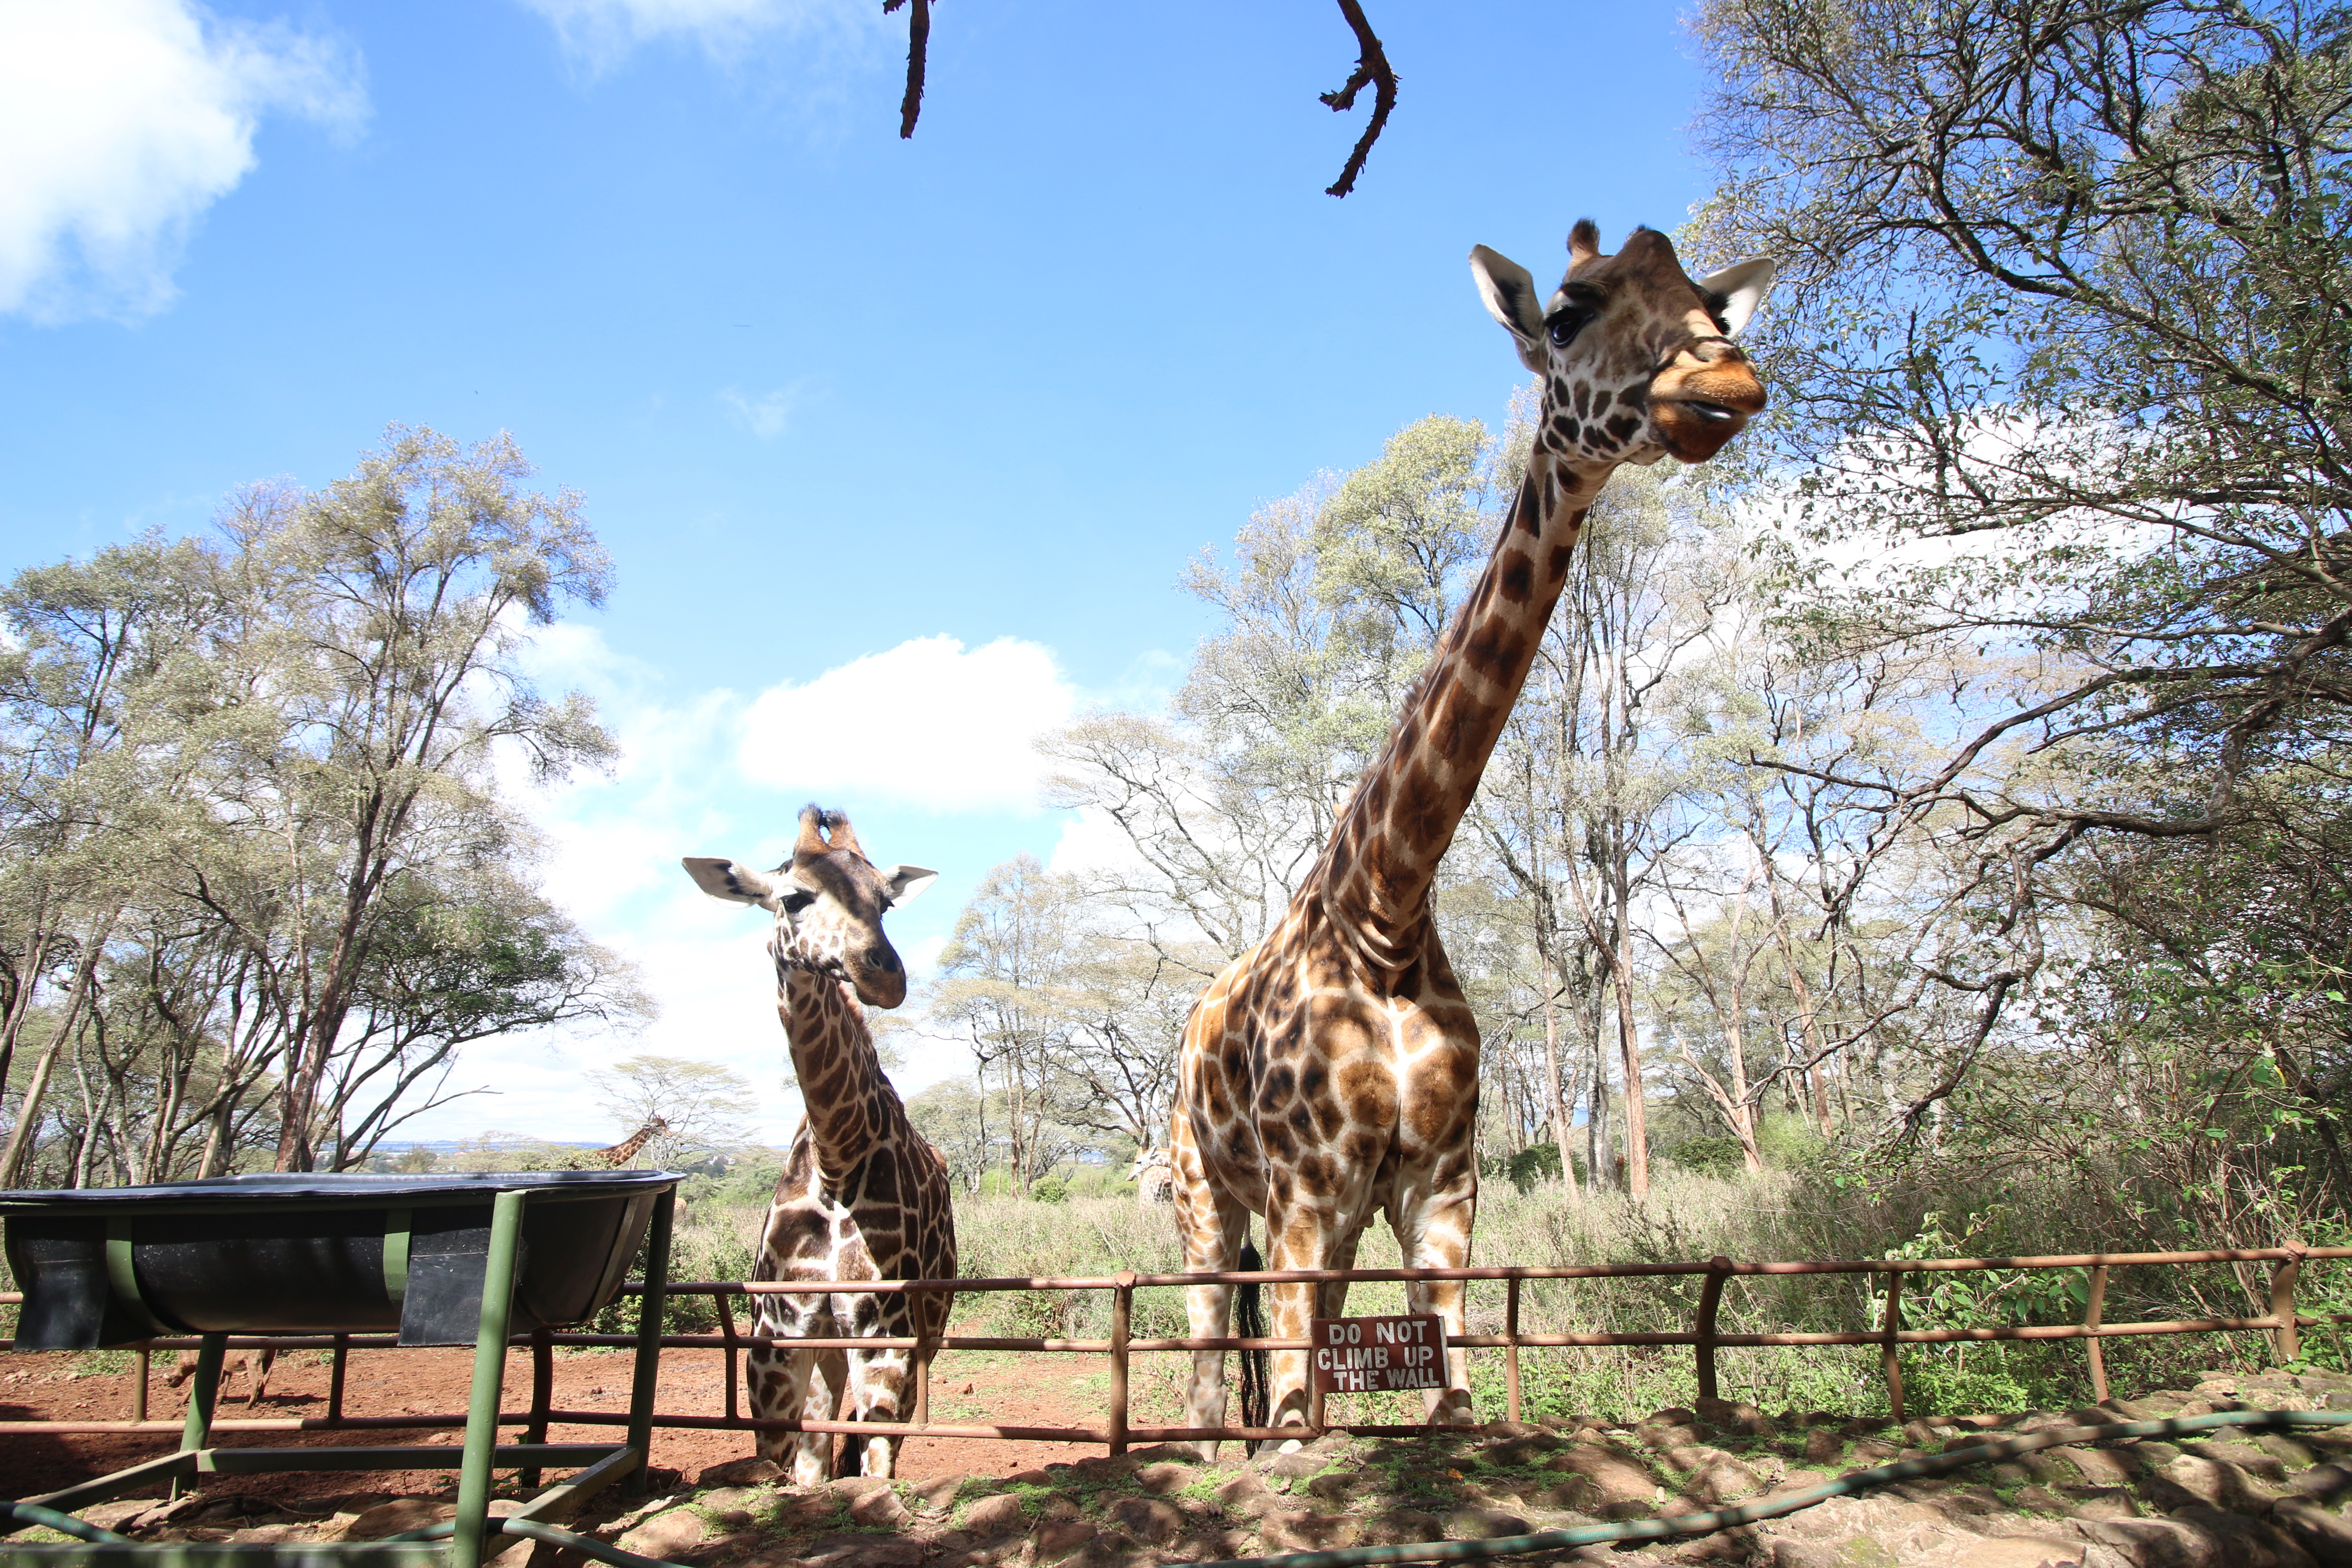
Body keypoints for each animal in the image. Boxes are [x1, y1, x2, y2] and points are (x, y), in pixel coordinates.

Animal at [684, 805, 957, 1484]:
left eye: (886, 901)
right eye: (794, 897)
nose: (884, 977)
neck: (837, 1159)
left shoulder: (882, 1331)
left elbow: (876, 1463)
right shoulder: (782, 1338)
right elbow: (804, 1470)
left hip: (926, 1331)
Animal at [1168, 221, 1775, 1453]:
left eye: (1711, 304)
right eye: (1569, 312)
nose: (1722, 385)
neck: (1387, 912)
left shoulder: (1438, 1187)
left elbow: (1441, 1391)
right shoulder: (1306, 1188)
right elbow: (1297, 1406)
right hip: (1201, 1196)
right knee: (1206, 1346)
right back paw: (1201, 1447)